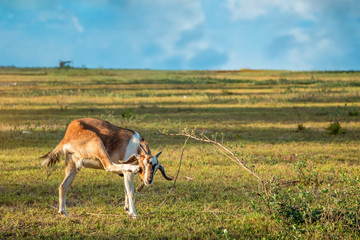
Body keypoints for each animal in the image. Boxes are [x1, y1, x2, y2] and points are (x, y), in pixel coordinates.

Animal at [40, 117, 173, 218]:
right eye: (143, 165)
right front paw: (134, 214)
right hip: (98, 145)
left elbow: (126, 190)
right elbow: (131, 192)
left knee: (63, 186)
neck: (137, 145)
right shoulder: (128, 174)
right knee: (109, 165)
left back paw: (63, 212)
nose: (148, 180)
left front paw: (127, 209)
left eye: (155, 168)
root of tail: (68, 135)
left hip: (73, 166)